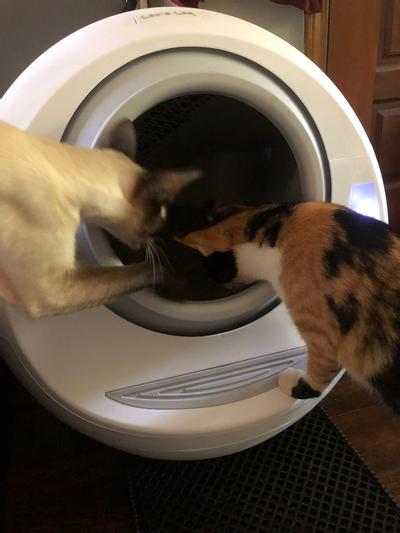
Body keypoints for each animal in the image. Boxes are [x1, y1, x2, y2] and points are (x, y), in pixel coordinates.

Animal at [178, 201, 400, 413]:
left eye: (210, 268)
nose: (214, 281)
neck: (283, 228)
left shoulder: (324, 342)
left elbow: (317, 382)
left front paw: (291, 382)